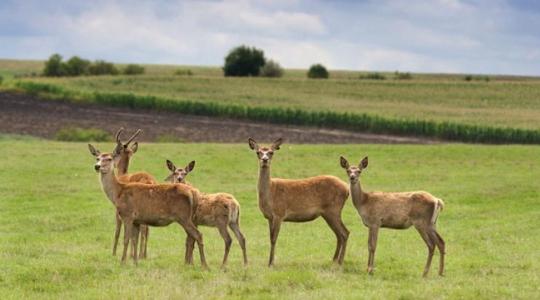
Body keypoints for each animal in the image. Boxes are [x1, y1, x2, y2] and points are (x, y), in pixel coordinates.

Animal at [249, 137, 350, 266]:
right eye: (258, 152)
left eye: (271, 152)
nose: (265, 160)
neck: (269, 195)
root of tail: (346, 188)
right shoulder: (269, 217)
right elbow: (270, 237)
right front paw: (270, 262)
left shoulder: (279, 213)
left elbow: (274, 238)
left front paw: (271, 263)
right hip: (328, 213)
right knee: (339, 234)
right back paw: (334, 259)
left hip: (333, 209)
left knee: (344, 233)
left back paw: (340, 261)